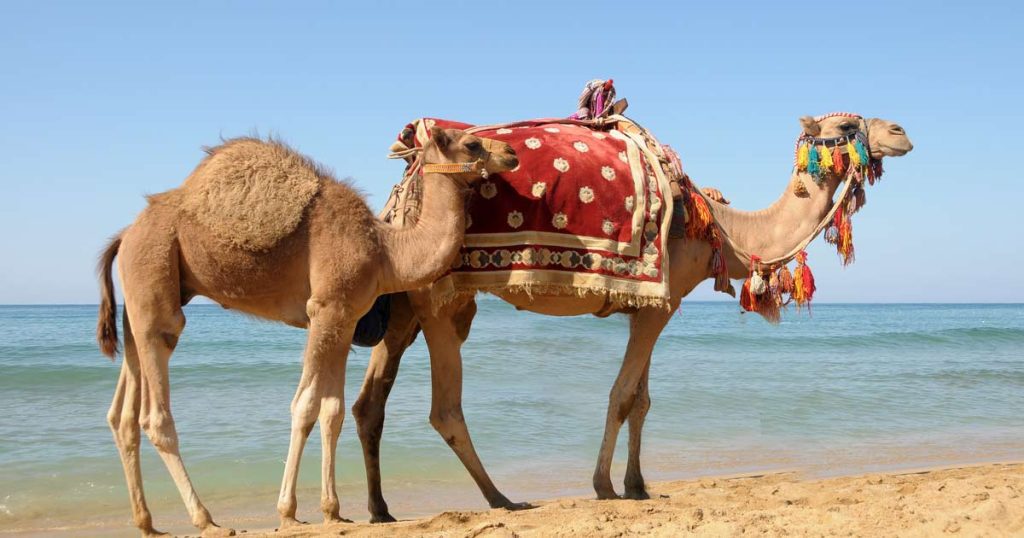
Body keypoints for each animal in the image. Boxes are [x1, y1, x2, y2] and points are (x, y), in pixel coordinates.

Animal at [94, 128, 517, 537]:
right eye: (472, 143)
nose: (511, 153)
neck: (386, 251)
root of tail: (124, 235)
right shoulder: (326, 309)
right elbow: (305, 406)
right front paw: (289, 512)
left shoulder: (344, 318)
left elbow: (332, 410)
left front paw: (332, 510)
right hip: (154, 281)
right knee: (155, 411)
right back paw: (206, 520)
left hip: (138, 308)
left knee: (122, 414)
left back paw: (147, 522)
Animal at [350, 113, 913, 522]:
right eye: (847, 125)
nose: (901, 132)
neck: (722, 230)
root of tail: (405, 186)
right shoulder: (658, 305)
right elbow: (623, 396)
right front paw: (605, 486)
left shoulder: (651, 307)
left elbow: (642, 401)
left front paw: (638, 485)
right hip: (439, 300)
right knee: (444, 409)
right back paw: (501, 499)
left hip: (406, 303)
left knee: (370, 403)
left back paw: (381, 510)